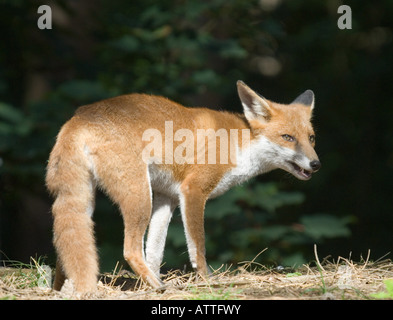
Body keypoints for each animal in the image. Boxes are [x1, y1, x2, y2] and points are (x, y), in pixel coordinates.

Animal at [46, 80, 320, 292]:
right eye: (287, 137)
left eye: (311, 138)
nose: (316, 164)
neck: (240, 144)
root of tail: (79, 116)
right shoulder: (193, 191)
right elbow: (198, 248)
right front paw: (206, 281)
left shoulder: (167, 197)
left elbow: (155, 251)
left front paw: (153, 279)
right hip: (139, 196)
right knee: (130, 250)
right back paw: (157, 288)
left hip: (88, 200)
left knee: (66, 249)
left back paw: (61, 289)